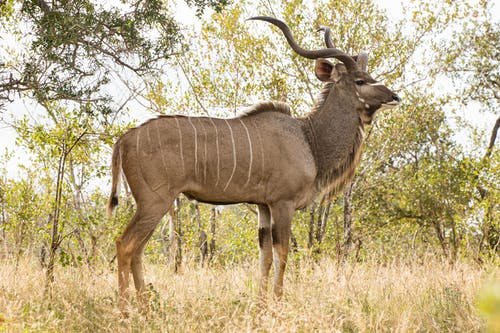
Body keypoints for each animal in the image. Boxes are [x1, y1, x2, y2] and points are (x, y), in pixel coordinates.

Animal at [107, 16, 400, 310]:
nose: (394, 97)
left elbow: (266, 257)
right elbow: (282, 253)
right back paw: (125, 310)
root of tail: (124, 139)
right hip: (155, 201)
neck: (308, 138)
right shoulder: (282, 203)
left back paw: (145, 307)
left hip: (154, 205)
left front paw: (261, 305)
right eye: (360, 81)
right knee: (125, 244)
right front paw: (278, 304)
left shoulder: (263, 206)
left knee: (137, 249)